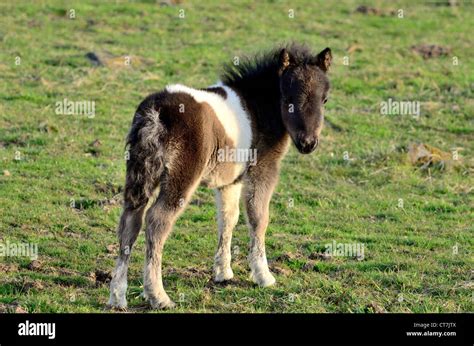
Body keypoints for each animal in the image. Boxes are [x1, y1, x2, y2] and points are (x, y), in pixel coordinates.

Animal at [109, 44, 332, 308]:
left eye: (325, 99)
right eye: (287, 99)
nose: (308, 143)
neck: (258, 107)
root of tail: (156, 113)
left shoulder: (230, 181)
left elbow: (228, 218)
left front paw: (223, 273)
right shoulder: (263, 169)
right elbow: (258, 217)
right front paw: (263, 276)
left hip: (139, 172)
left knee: (130, 221)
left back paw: (117, 297)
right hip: (180, 176)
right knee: (157, 221)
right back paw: (158, 296)